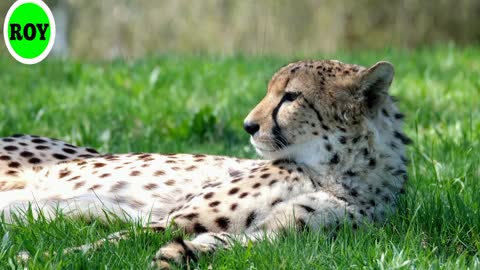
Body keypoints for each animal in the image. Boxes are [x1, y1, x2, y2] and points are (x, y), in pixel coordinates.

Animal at [1, 59, 410, 268]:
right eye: (270, 91)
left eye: (291, 96)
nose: (248, 125)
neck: (336, 171)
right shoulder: (173, 219)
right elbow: (111, 242)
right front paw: (38, 258)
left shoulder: (287, 237)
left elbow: (234, 242)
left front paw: (181, 254)